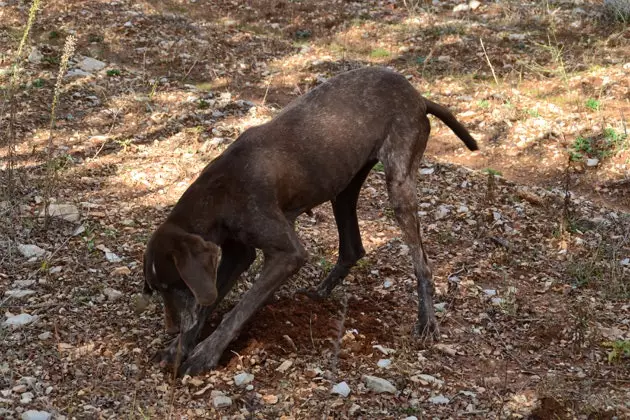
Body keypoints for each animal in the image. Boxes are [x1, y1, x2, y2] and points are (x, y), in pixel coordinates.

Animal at [142, 66, 478, 378]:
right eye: (157, 289)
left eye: (174, 284)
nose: (171, 329)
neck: (218, 194)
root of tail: (418, 97)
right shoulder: (236, 253)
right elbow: (208, 301)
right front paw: (179, 347)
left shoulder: (287, 254)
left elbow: (238, 309)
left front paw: (204, 353)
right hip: (343, 187)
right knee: (353, 248)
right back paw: (321, 294)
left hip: (399, 184)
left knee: (422, 264)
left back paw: (427, 321)